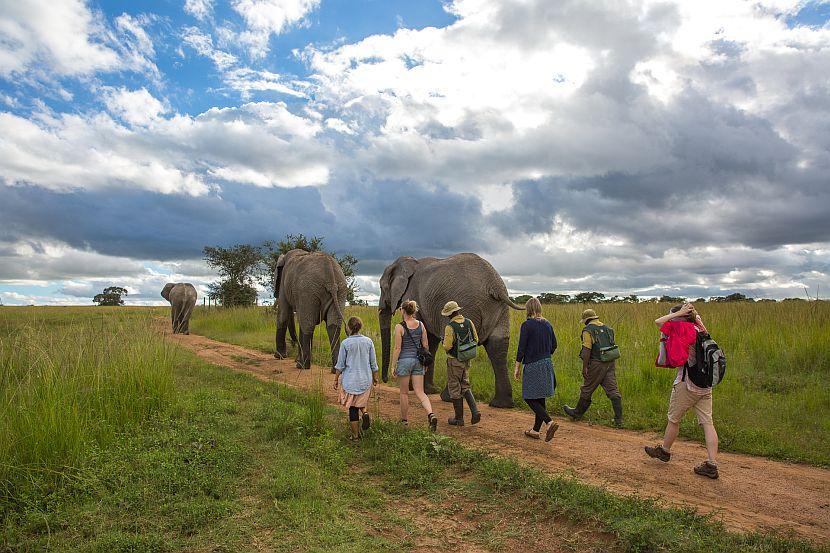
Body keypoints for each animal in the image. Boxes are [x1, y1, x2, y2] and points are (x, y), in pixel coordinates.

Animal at [378, 251, 524, 406]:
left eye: (381, 287)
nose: (385, 380)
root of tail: (494, 284)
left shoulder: (413, 298)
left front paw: (417, 388)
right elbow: (429, 341)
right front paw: (428, 390)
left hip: (466, 305)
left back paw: (448, 397)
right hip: (500, 308)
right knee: (497, 346)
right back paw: (501, 404)